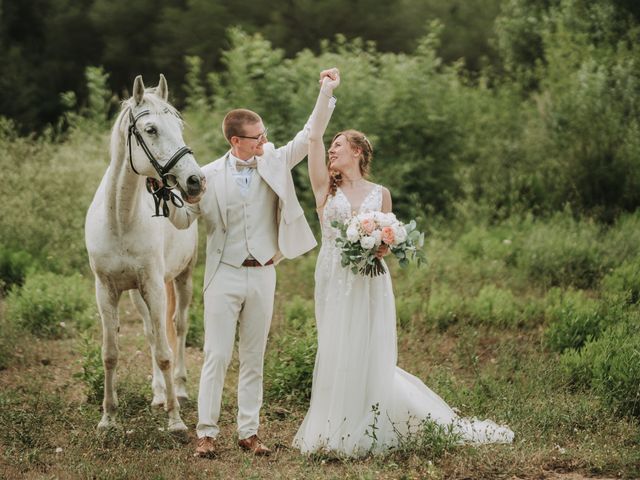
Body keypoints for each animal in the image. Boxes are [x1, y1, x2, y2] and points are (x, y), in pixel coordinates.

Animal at [85, 74, 205, 432]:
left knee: (178, 327)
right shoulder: (106, 290)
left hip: (182, 278)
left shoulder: (155, 285)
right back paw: (158, 394)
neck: (121, 219)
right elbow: (110, 353)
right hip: (139, 294)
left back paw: (179, 390)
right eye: (150, 129)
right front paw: (108, 418)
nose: (195, 181)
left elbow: (166, 352)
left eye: (179, 125)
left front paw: (175, 421)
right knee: (153, 333)